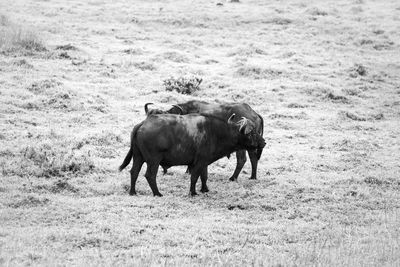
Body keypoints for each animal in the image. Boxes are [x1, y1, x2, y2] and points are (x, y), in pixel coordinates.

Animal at [119, 113, 266, 197]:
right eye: (253, 133)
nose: (264, 142)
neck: (217, 133)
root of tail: (142, 124)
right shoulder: (199, 162)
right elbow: (194, 177)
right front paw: (193, 192)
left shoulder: (205, 162)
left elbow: (204, 176)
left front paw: (205, 189)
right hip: (153, 160)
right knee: (149, 175)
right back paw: (157, 193)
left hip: (138, 157)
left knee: (134, 172)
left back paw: (133, 192)